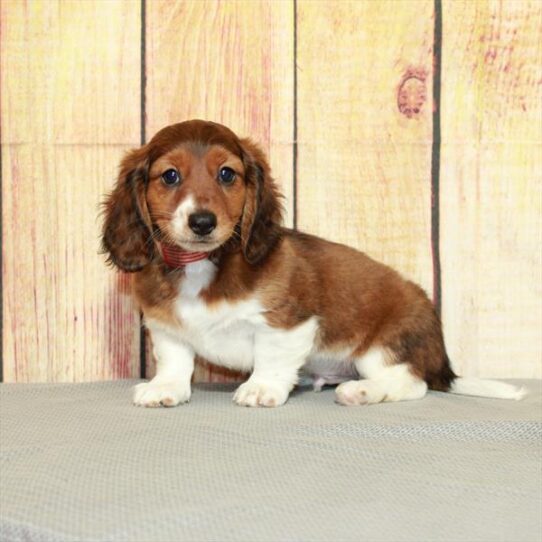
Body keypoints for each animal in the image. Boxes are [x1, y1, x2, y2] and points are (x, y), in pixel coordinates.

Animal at [103, 119, 528, 408]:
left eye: (226, 174)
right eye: (170, 176)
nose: (202, 222)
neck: (204, 263)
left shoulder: (287, 322)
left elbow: (272, 357)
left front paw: (261, 387)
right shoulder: (166, 327)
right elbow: (174, 360)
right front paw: (165, 388)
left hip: (381, 349)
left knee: (413, 384)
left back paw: (361, 391)